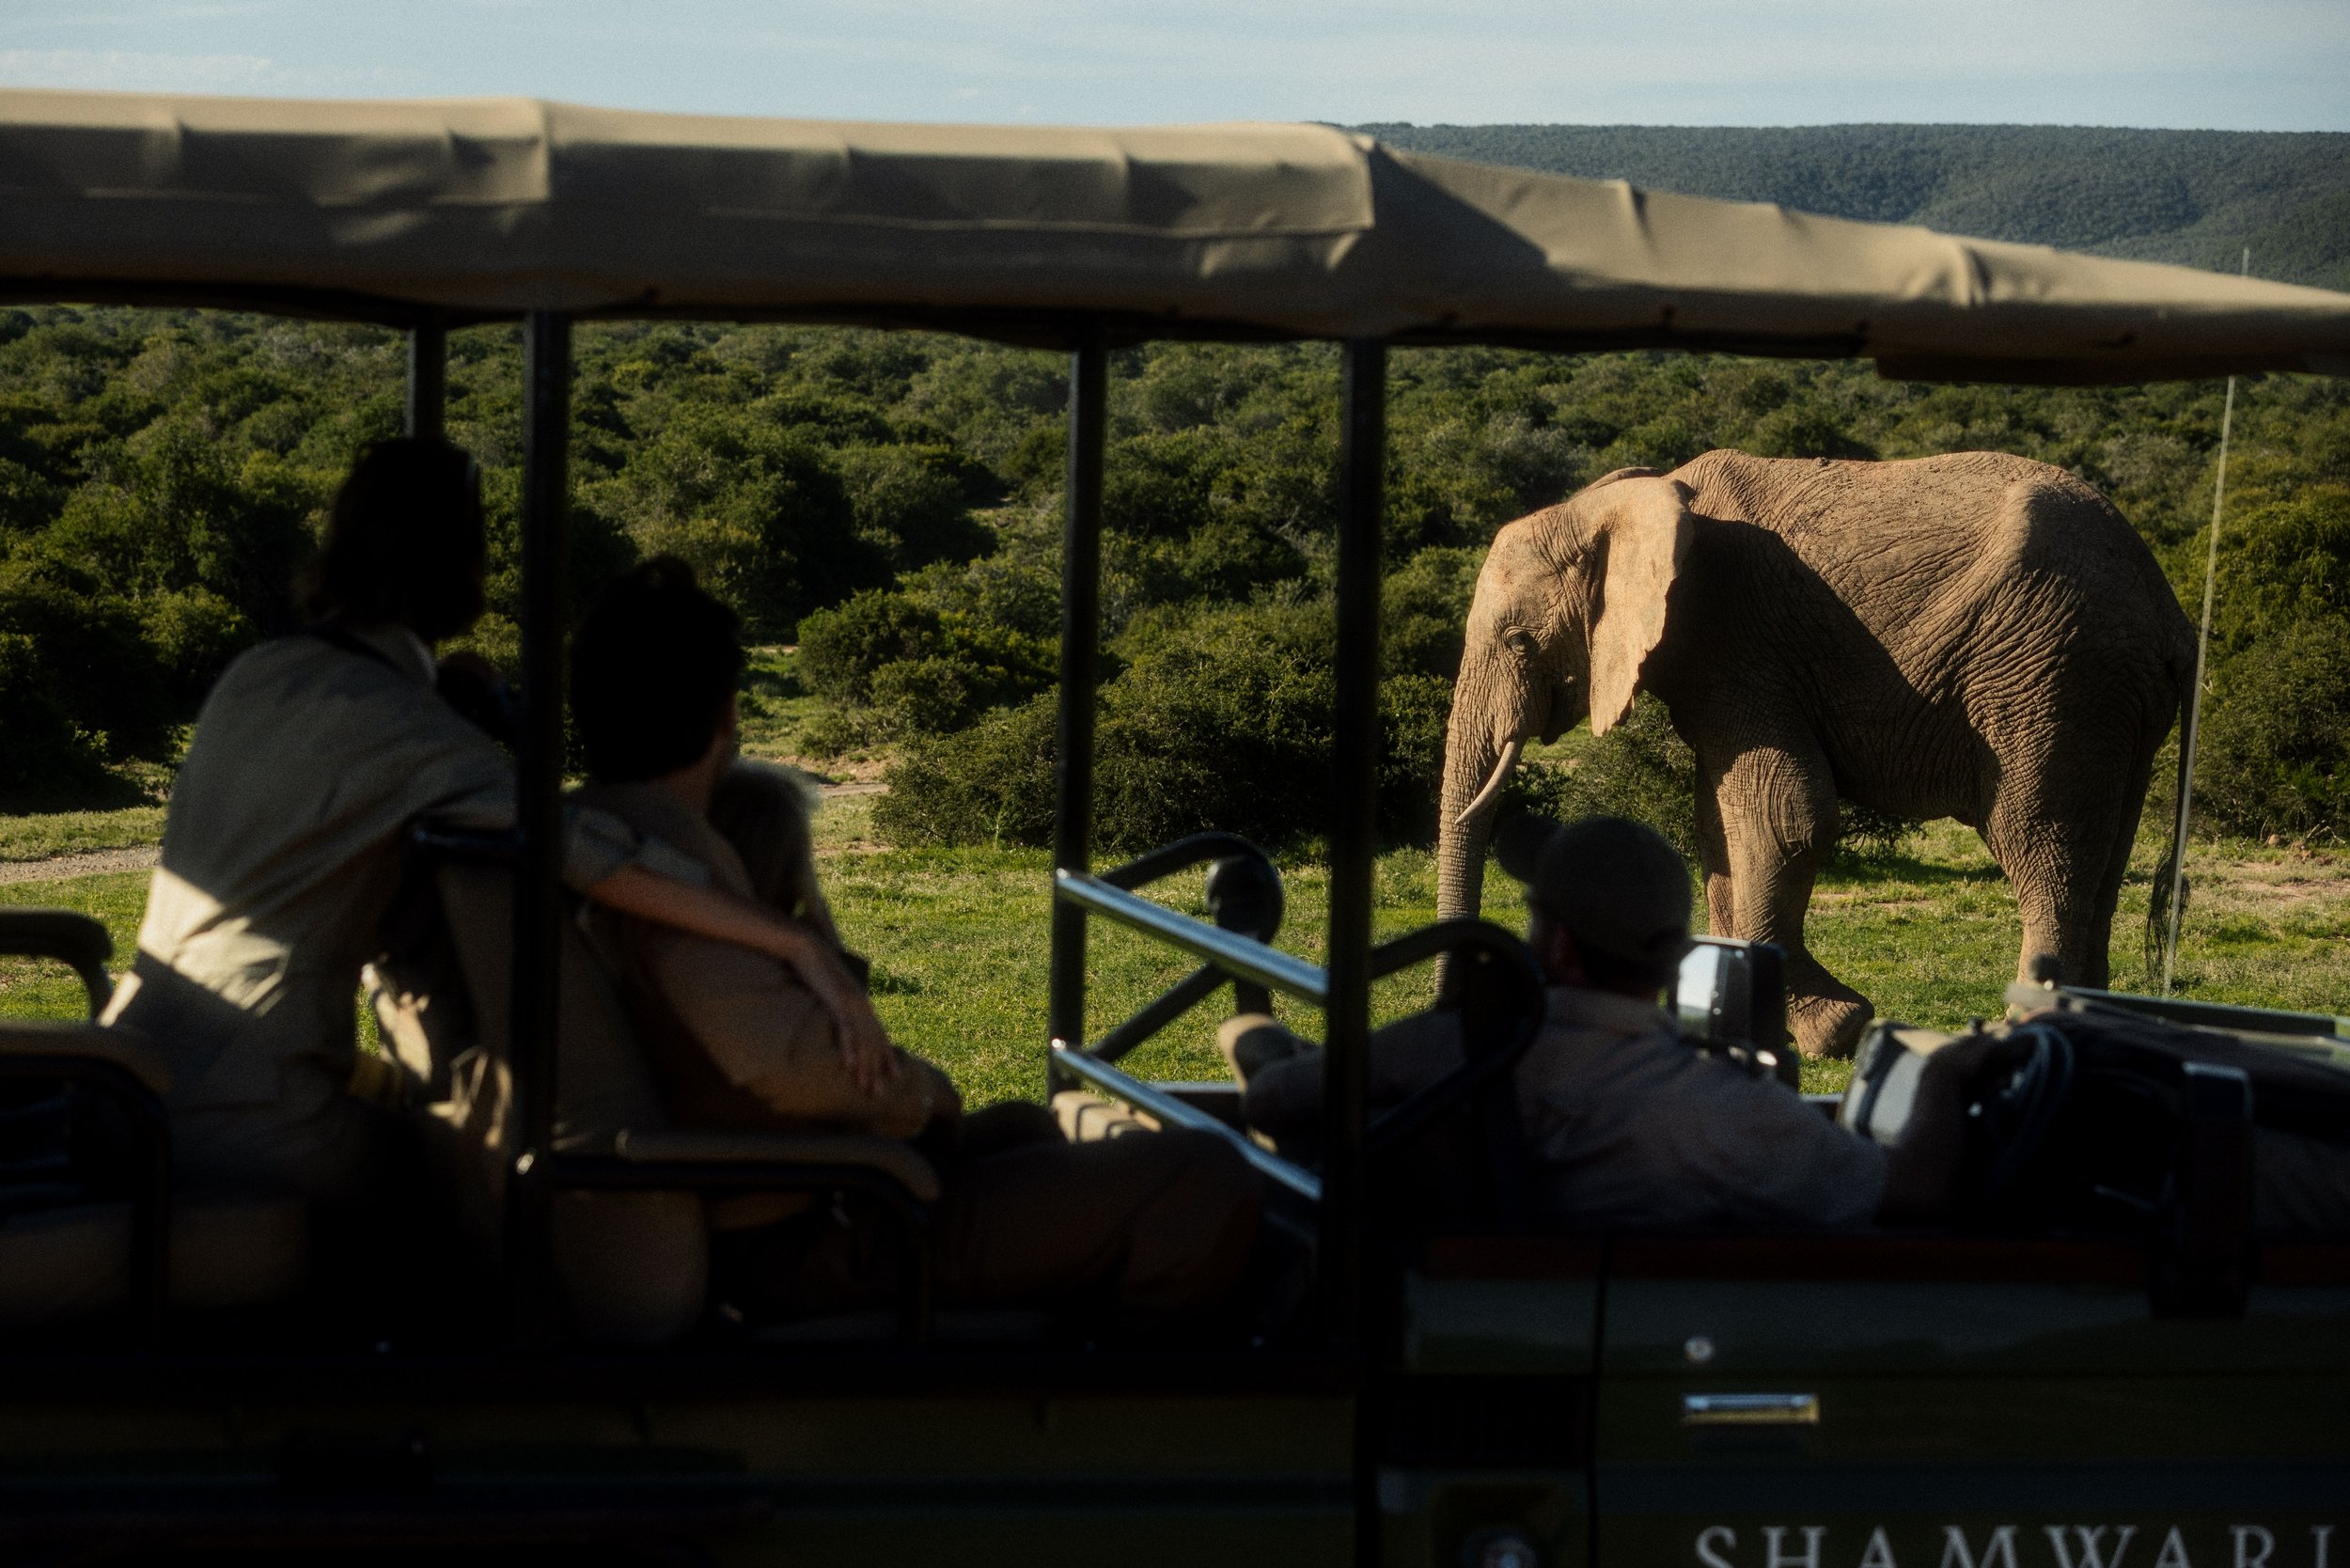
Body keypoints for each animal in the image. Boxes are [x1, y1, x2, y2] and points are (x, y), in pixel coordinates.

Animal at [1435, 449, 2195, 1058]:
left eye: (1518, 642)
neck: (1624, 503)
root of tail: (2171, 612)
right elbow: (1718, 829)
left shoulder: (1739, 638)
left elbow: (1786, 820)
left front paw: (1821, 1027)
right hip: (2110, 699)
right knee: (2105, 855)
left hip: (2051, 677)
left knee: (2040, 841)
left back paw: (2027, 1029)